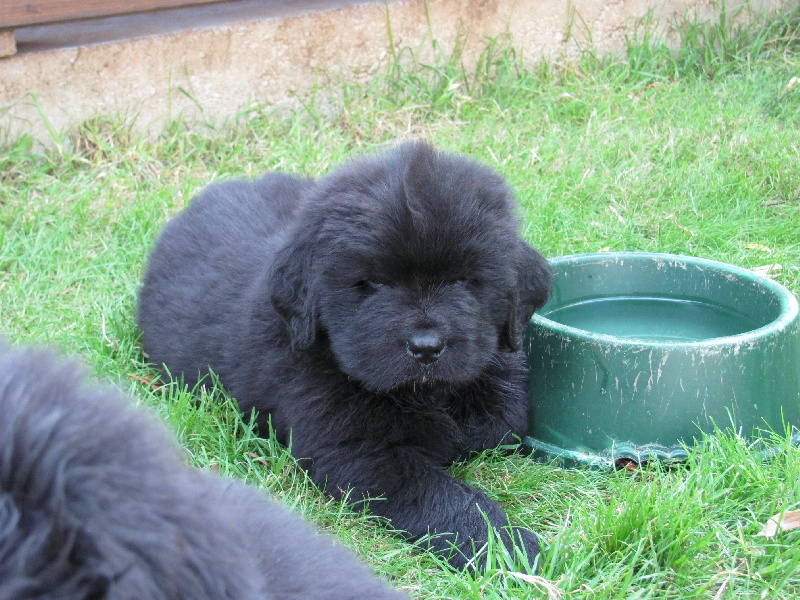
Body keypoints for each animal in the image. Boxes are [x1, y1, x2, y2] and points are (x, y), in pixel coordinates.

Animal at [139, 142, 552, 572]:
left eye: (464, 279)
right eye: (372, 283)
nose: (425, 346)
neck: (422, 394)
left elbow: (502, 422)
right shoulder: (357, 453)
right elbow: (441, 494)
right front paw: (507, 546)